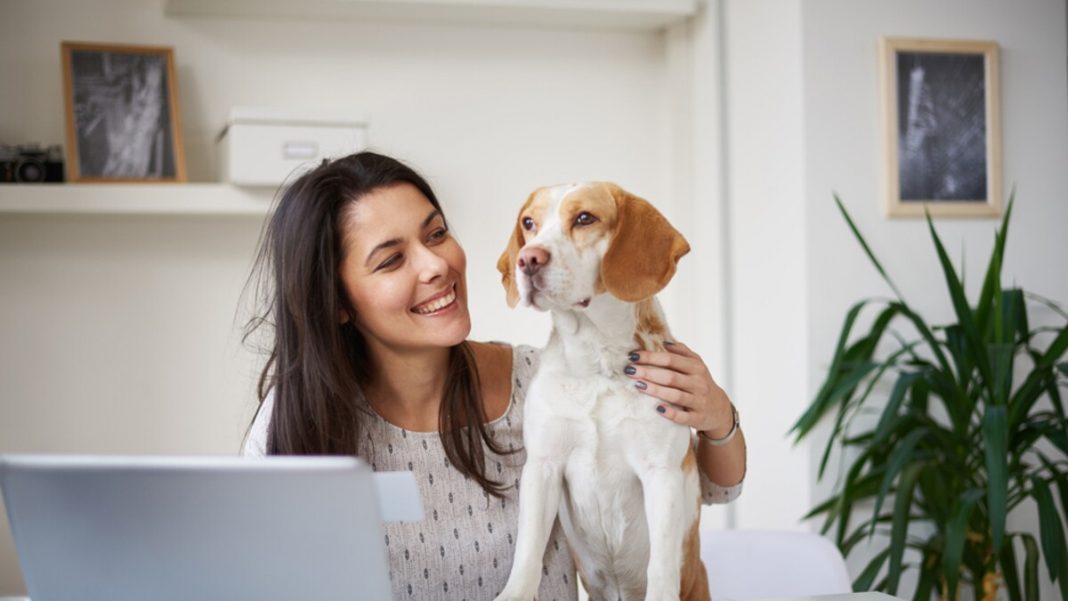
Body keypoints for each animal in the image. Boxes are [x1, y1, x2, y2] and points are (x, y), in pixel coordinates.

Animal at [493, 182, 709, 601]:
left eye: (584, 218)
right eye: (528, 223)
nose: (528, 259)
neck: (596, 364)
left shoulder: (661, 472)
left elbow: (661, 566)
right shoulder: (542, 467)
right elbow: (527, 555)